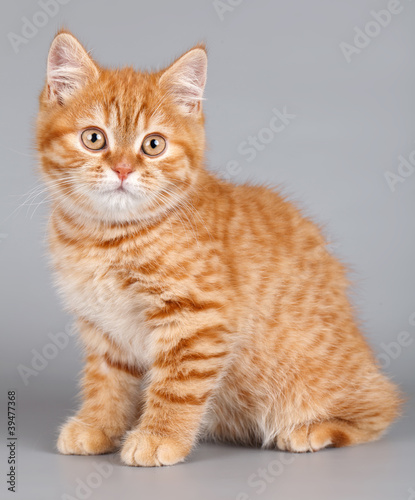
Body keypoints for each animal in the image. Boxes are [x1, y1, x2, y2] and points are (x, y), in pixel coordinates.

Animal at [37, 31, 402, 466]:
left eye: (153, 145)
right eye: (94, 138)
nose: (123, 169)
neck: (106, 235)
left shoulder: (198, 318)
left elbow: (177, 385)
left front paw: (160, 436)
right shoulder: (102, 325)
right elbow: (106, 380)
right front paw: (98, 424)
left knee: (382, 407)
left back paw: (315, 428)